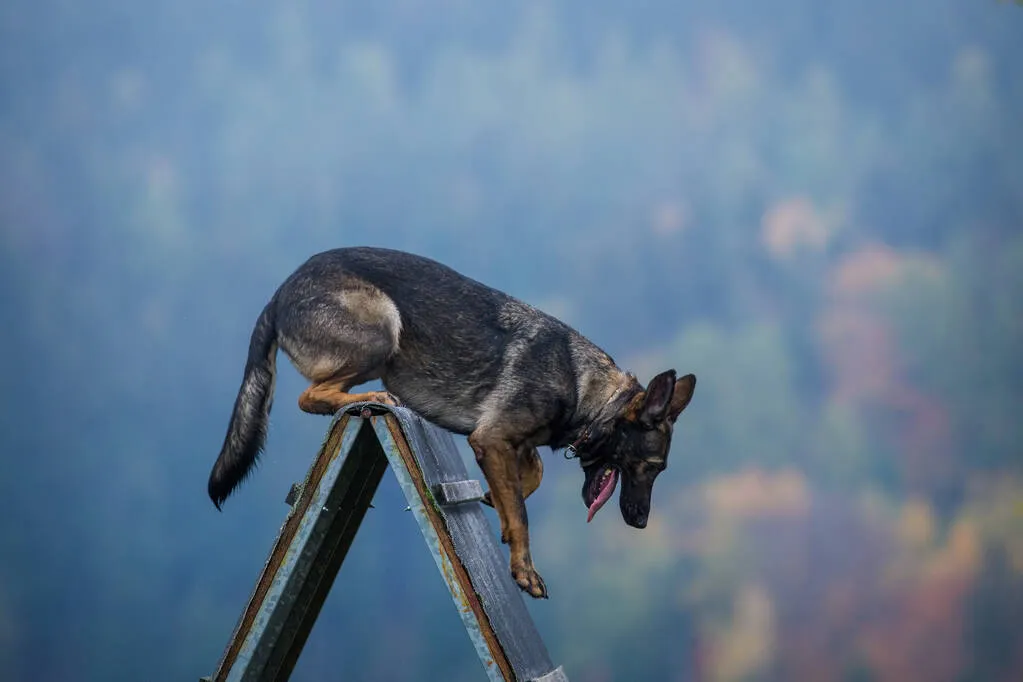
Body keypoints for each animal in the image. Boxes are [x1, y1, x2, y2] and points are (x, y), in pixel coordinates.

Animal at [207, 248, 695, 601]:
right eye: (651, 468)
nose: (640, 524)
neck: (586, 390)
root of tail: (278, 297)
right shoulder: (492, 438)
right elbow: (523, 513)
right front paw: (524, 568)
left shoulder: (506, 444)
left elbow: (528, 479)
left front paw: (498, 504)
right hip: (382, 331)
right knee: (309, 397)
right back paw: (369, 398)